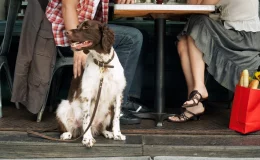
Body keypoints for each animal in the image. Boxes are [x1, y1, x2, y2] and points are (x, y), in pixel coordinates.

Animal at [56, 20, 127, 148]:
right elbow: (87, 118)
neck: (103, 63)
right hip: (63, 107)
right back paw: (66, 134)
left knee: (101, 128)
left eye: (86, 27)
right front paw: (87, 138)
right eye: (78, 26)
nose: (66, 32)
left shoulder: (118, 94)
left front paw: (117, 134)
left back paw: (108, 133)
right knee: (70, 129)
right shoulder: (87, 95)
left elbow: (117, 117)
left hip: (109, 111)